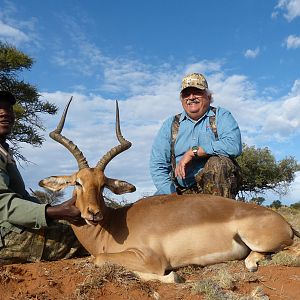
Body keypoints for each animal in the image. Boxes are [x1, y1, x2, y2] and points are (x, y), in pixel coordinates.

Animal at [39, 98, 300, 284]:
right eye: (78, 182)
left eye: (103, 184)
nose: (93, 213)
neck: (111, 227)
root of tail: (283, 221)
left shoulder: (150, 259)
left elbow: (100, 259)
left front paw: (173, 276)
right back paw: (252, 262)